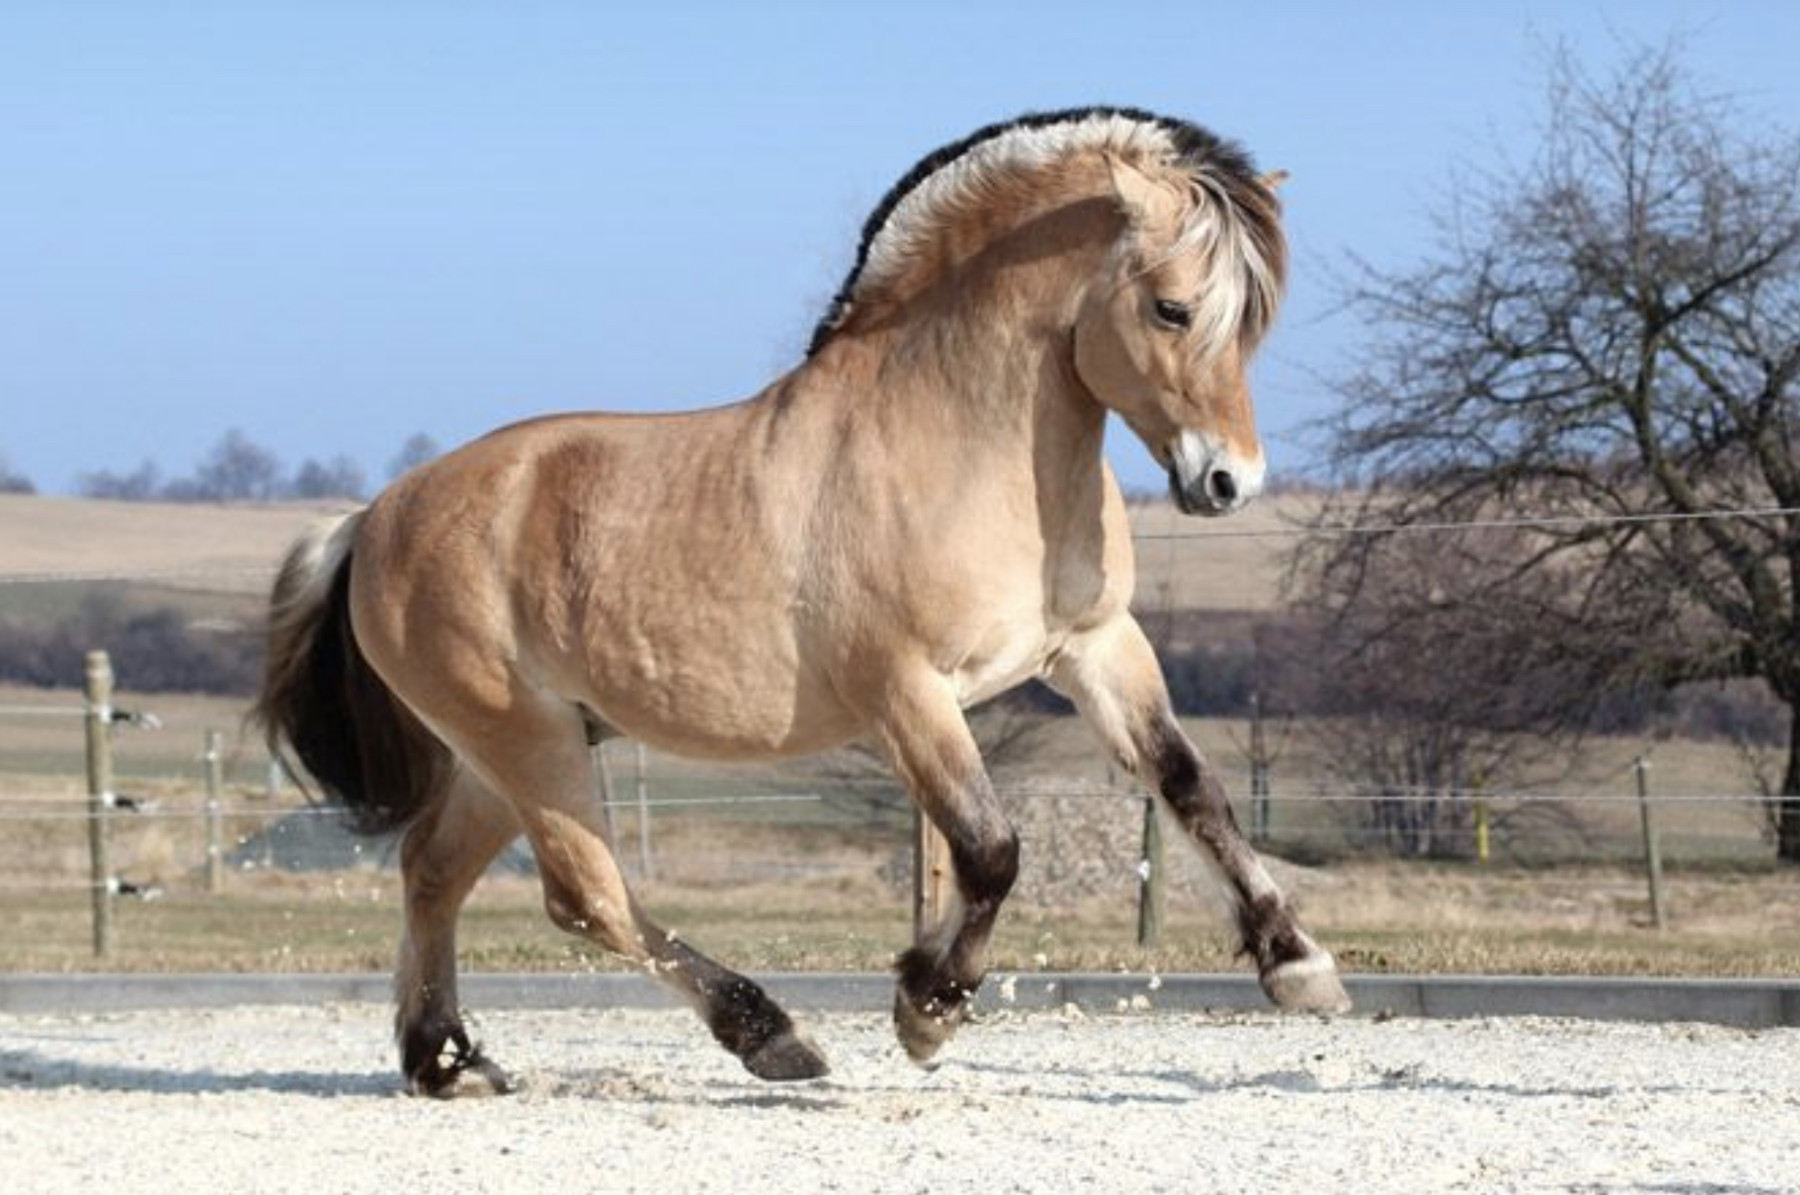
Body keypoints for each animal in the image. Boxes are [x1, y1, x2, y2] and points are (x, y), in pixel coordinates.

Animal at [257, 107, 1353, 1094]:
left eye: (1249, 322)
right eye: (1172, 308)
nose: (1228, 481)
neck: (961, 448)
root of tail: (375, 516)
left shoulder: (1093, 648)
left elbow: (1189, 785)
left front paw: (1298, 963)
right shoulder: (907, 693)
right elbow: (990, 848)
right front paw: (926, 1006)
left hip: (512, 751)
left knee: (432, 869)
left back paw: (449, 1061)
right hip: (526, 742)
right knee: (586, 896)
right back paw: (772, 1036)